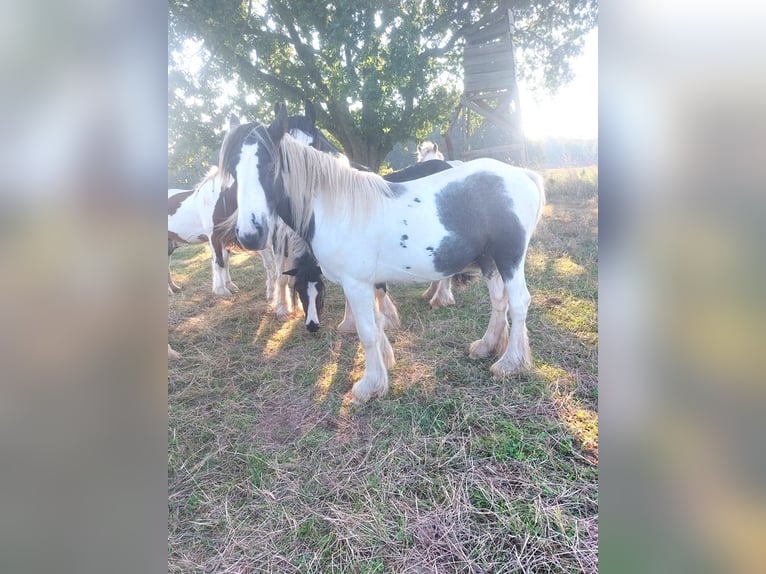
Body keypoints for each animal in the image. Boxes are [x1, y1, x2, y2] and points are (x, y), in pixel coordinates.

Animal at [222, 108, 544, 404]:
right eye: (233, 174)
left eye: (269, 167)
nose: (250, 234)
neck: (337, 208)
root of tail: (523, 174)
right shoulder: (365, 283)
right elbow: (376, 324)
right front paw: (385, 364)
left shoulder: (356, 283)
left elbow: (366, 331)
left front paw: (369, 386)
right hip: (490, 260)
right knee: (499, 301)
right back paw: (487, 346)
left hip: (510, 258)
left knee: (518, 302)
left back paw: (510, 363)